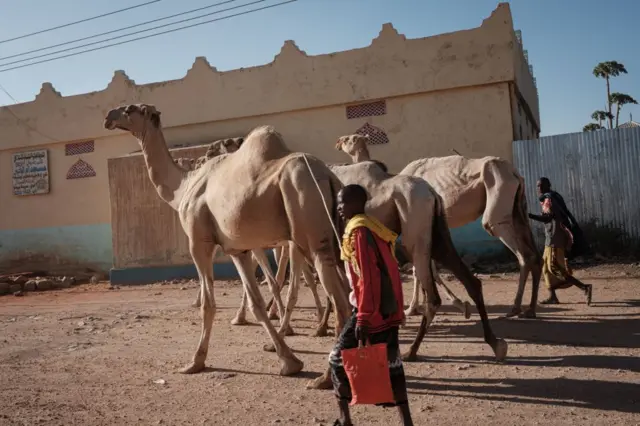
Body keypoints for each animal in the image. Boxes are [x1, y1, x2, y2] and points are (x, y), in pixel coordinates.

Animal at [106, 105, 356, 388]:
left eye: (129, 109)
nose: (108, 117)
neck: (183, 188)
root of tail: (327, 176)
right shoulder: (238, 249)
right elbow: (257, 303)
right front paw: (289, 362)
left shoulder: (198, 241)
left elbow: (208, 304)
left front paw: (195, 362)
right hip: (333, 237)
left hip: (309, 224)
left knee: (340, 300)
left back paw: (325, 377)